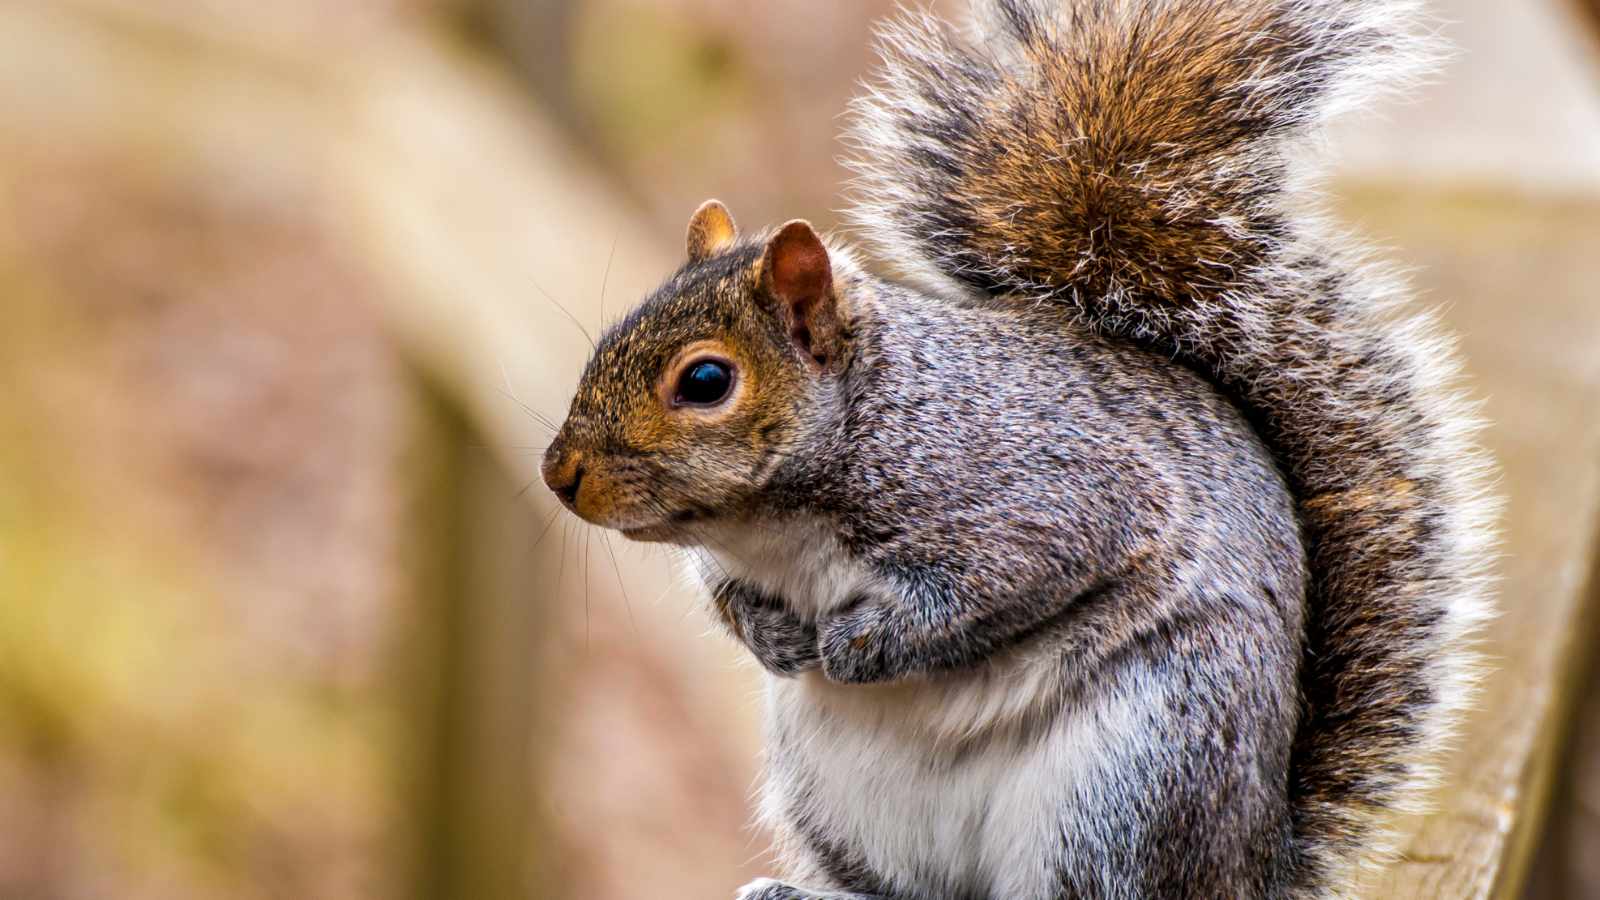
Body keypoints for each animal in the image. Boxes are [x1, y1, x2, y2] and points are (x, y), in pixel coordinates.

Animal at [540, 0, 1496, 897]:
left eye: (706, 381)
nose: (560, 475)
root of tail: (1248, 867)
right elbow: (728, 595)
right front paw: (771, 635)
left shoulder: (1038, 495)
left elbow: (991, 589)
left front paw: (860, 644)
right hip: (838, 793)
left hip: (1135, 773)